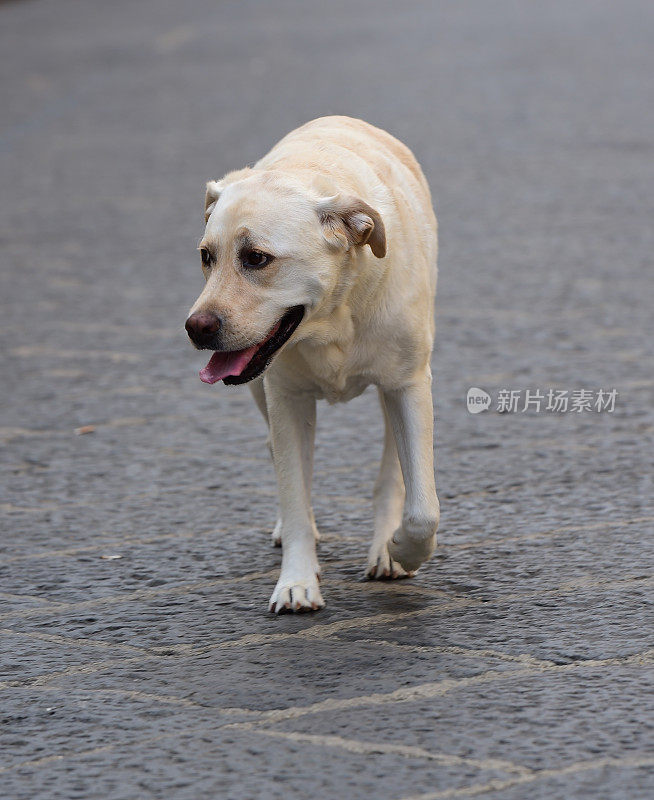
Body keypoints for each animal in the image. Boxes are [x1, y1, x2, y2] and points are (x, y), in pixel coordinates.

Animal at [184, 115, 440, 612]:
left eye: (256, 258)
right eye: (207, 256)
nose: (195, 328)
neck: (333, 321)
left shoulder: (409, 385)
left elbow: (422, 508)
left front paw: (401, 549)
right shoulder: (285, 397)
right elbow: (294, 491)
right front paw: (297, 582)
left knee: (393, 473)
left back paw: (386, 546)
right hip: (257, 387)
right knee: (277, 455)